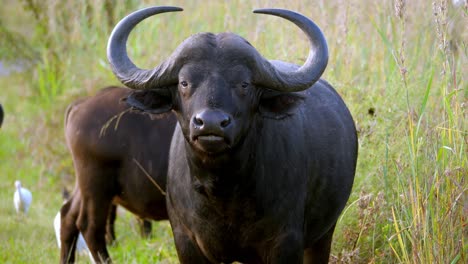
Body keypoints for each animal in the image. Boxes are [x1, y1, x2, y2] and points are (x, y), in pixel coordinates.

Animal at [108, 6, 356, 264]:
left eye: (244, 83)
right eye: (184, 82)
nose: (211, 123)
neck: (224, 192)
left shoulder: (286, 243)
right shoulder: (186, 241)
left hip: (323, 236)